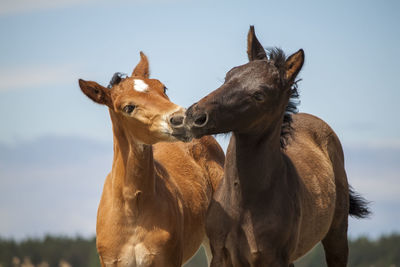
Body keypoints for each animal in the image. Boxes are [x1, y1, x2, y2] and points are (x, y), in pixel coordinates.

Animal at [170, 26, 370, 266]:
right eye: (229, 75)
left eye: (259, 95)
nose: (194, 116)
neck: (243, 205)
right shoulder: (221, 255)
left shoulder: (272, 258)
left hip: (337, 234)